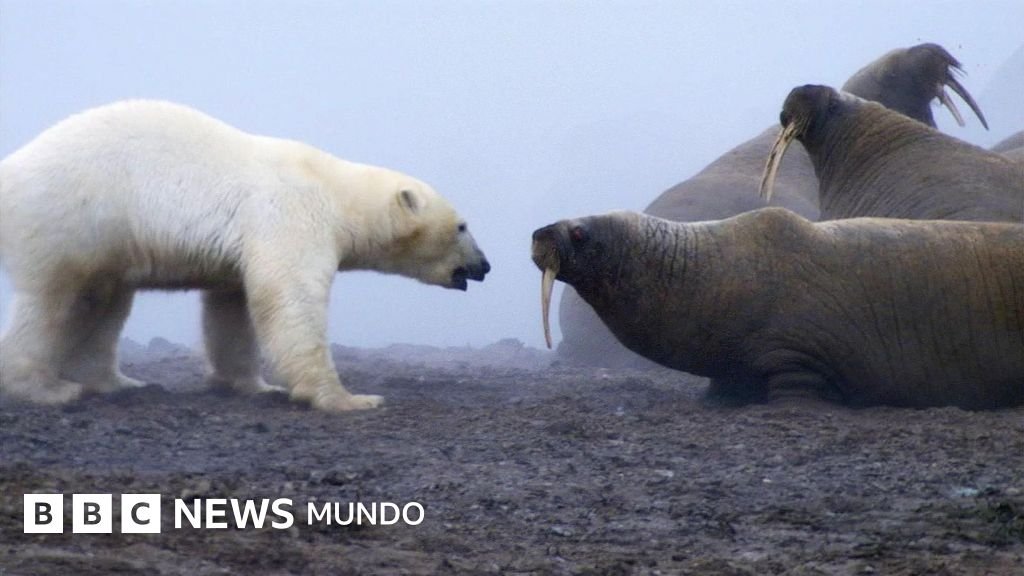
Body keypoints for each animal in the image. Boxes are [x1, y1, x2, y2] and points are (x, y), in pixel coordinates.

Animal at [0, 100, 490, 412]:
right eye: (462, 226)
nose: (485, 266)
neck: (335, 190)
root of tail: (11, 168)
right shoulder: (292, 214)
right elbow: (291, 298)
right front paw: (349, 398)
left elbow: (232, 308)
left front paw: (253, 386)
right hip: (71, 216)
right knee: (56, 301)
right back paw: (46, 388)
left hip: (105, 240)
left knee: (104, 302)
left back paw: (119, 381)